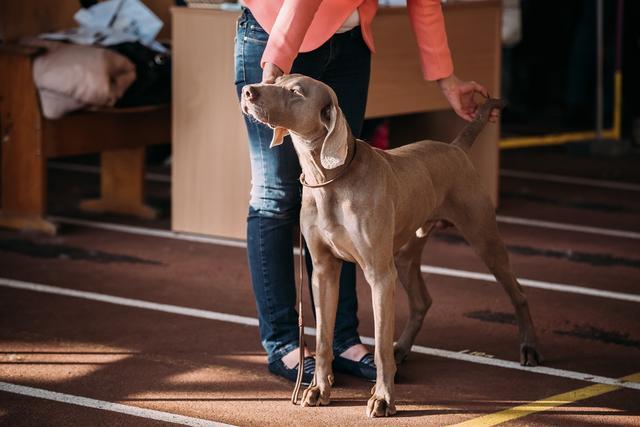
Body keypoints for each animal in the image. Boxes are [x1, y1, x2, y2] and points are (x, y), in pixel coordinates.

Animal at [240, 74, 540, 418]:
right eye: (275, 79)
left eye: (295, 92)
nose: (248, 91)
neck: (330, 180)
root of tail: (456, 147)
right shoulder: (323, 270)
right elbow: (324, 339)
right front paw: (319, 389)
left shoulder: (379, 275)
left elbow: (380, 345)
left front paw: (383, 398)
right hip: (405, 254)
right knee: (423, 301)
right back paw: (403, 349)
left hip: (482, 238)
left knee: (518, 293)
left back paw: (529, 348)